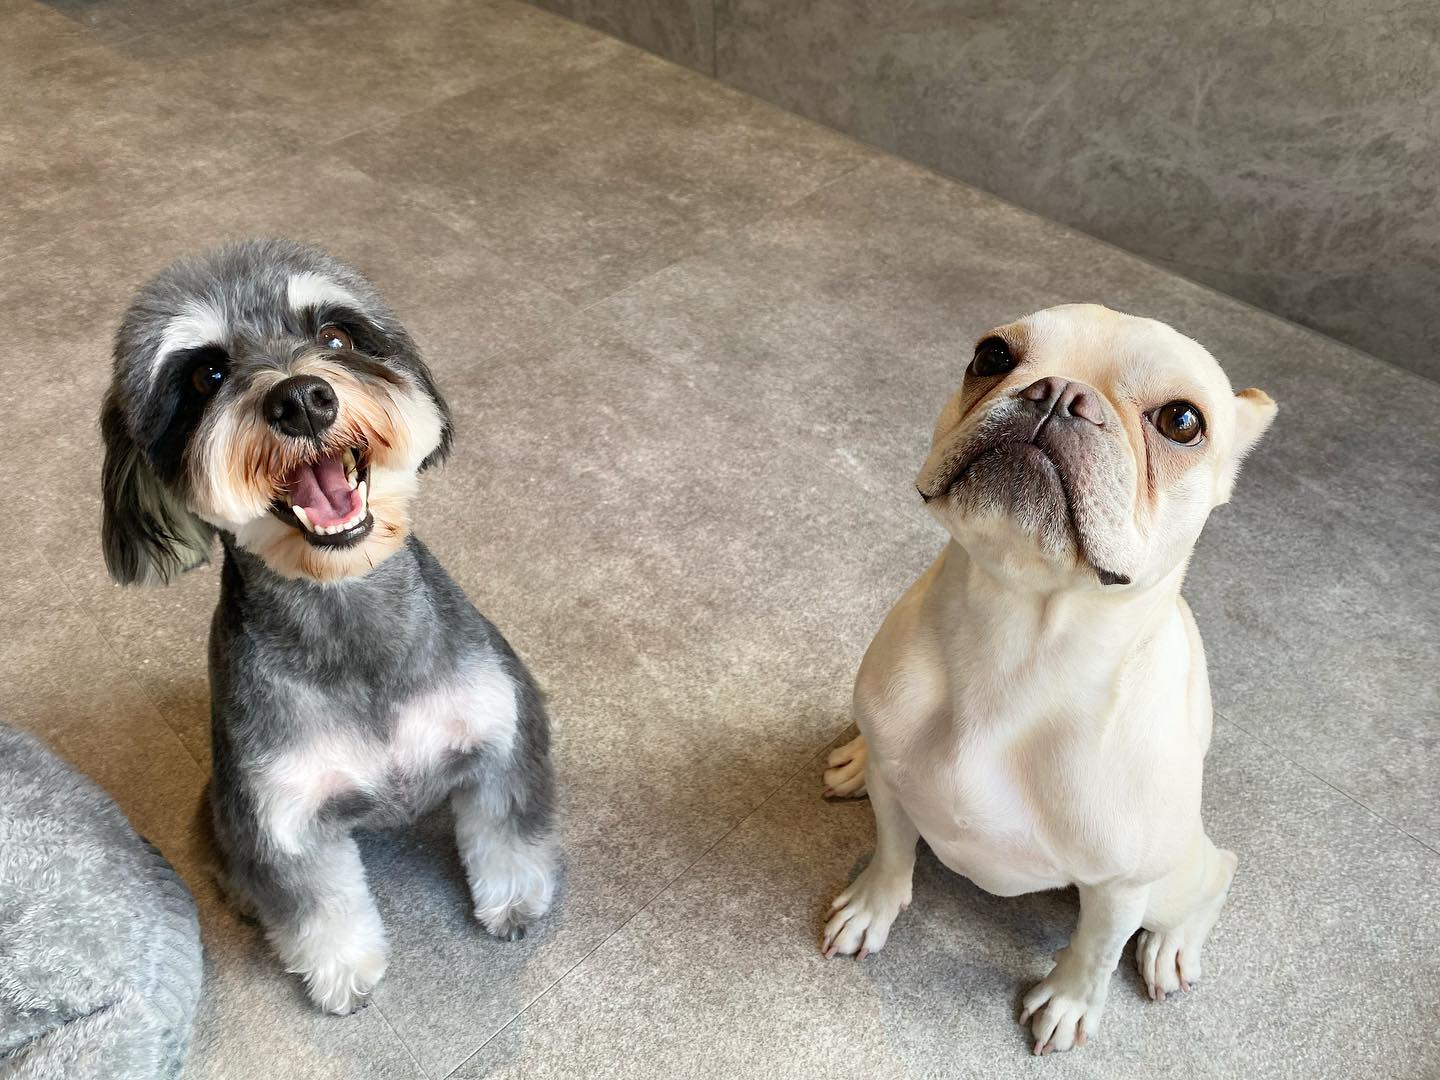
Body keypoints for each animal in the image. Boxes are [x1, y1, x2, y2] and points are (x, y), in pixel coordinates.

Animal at [100, 239, 557, 1014]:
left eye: (337, 336)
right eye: (205, 375)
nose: (301, 398)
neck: (346, 611)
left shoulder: (503, 738)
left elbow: (507, 834)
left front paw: (515, 903)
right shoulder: (281, 820)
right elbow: (319, 907)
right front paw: (343, 973)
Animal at [820, 304, 1275, 1054]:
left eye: (1183, 421)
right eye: (992, 356)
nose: (1060, 393)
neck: (1018, 636)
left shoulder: (1120, 885)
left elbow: (1095, 949)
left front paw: (1067, 1002)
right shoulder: (897, 789)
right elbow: (891, 853)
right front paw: (870, 907)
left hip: (1174, 876)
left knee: (1217, 873)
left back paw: (1172, 946)